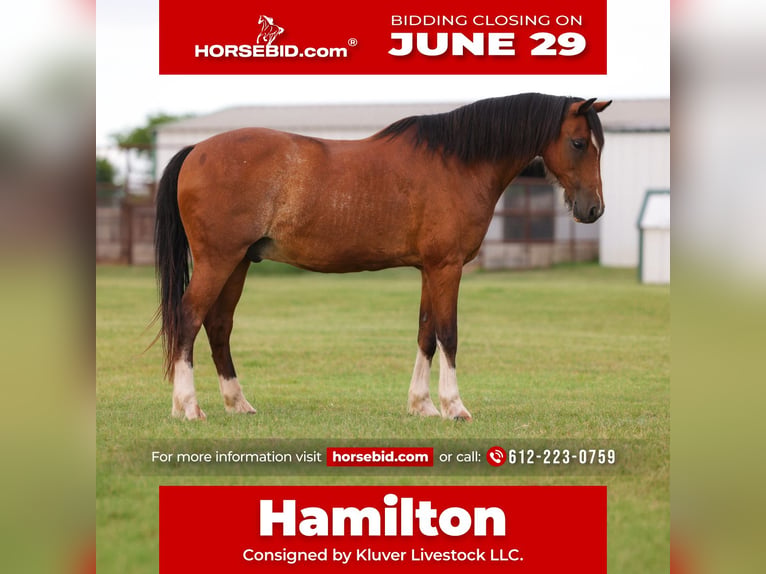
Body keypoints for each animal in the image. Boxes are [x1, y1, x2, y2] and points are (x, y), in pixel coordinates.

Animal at [154, 93, 611, 421]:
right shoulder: (446, 268)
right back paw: (188, 407)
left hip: (239, 263)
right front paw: (454, 407)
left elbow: (426, 331)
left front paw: (422, 405)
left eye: (600, 145)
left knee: (218, 325)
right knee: (189, 318)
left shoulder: (430, 269)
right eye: (577, 143)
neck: (457, 164)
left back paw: (237, 403)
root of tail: (196, 149)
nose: (593, 210)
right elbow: (448, 333)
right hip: (218, 261)